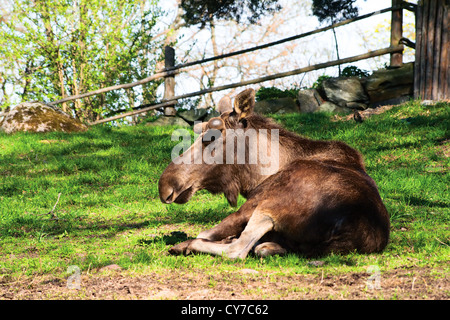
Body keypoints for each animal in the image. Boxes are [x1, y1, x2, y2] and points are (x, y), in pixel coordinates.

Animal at [159, 88, 390, 260]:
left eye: (212, 136)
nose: (165, 185)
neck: (258, 175)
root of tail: (348, 233)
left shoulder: (252, 203)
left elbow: (205, 233)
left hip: (269, 206)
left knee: (237, 250)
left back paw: (187, 245)